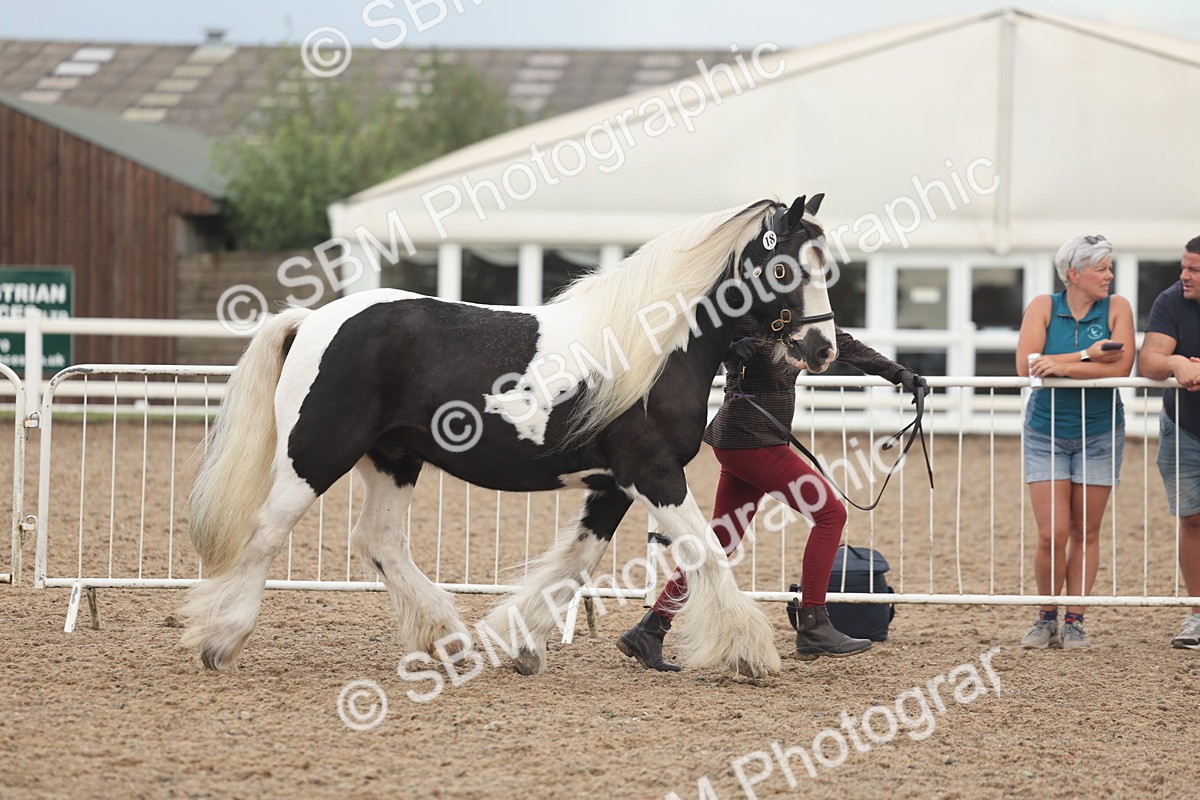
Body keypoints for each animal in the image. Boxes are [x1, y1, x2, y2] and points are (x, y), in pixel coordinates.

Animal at [181, 194, 838, 678]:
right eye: (783, 268)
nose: (824, 349)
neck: (653, 352)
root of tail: (313, 320)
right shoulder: (652, 474)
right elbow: (703, 549)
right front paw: (750, 652)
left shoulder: (613, 485)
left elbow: (577, 560)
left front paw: (522, 645)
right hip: (316, 455)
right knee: (267, 532)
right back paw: (222, 640)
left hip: (393, 458)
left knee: (378, 540)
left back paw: (446, 640)